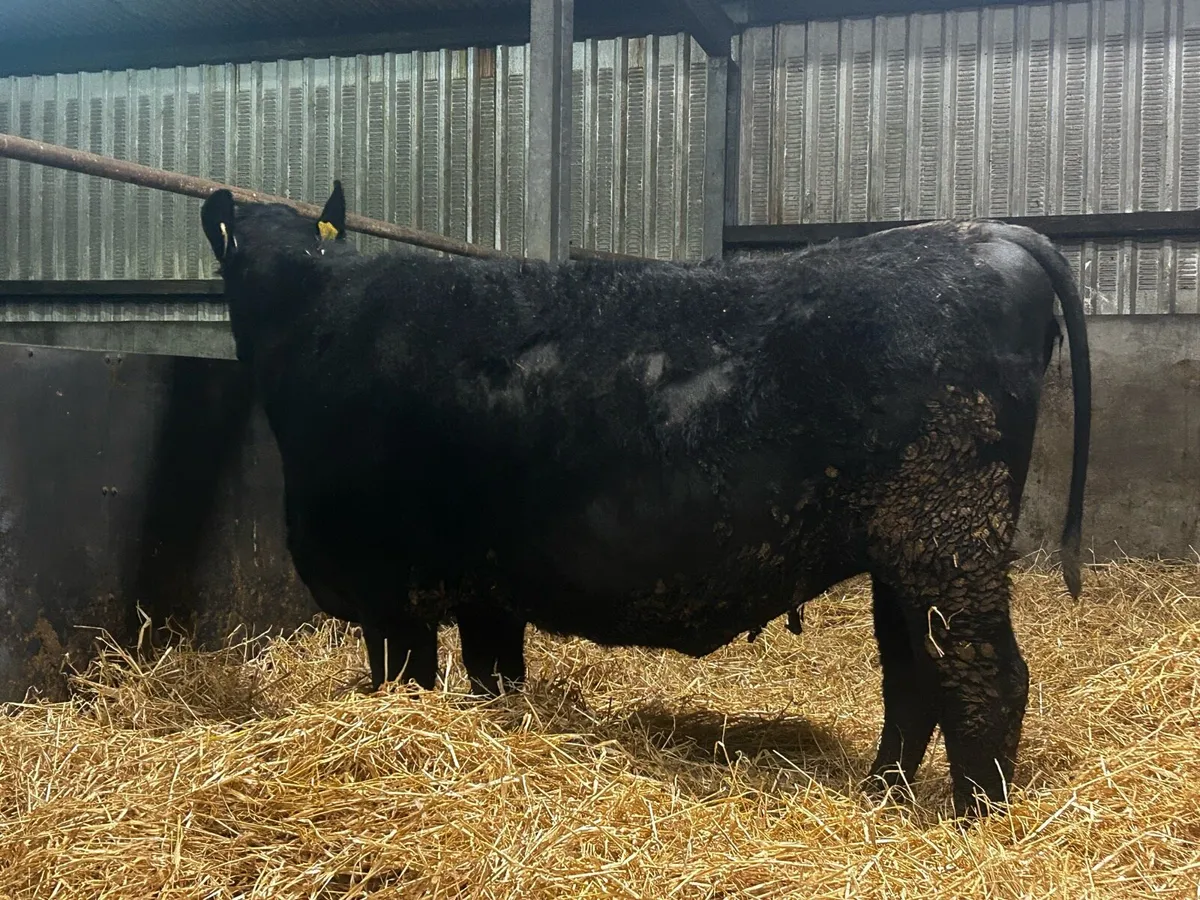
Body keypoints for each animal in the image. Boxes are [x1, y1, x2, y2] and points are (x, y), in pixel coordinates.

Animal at [201, 183, 1090, 818]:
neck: (319, 316)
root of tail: (985, 232)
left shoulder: (388, 588)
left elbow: (410, 681)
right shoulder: (487, 589)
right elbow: (494, 680)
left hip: (949, 534)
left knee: (987, 676)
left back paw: (974, 825)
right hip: (899, 555)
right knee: (912, 677)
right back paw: (882, 799)